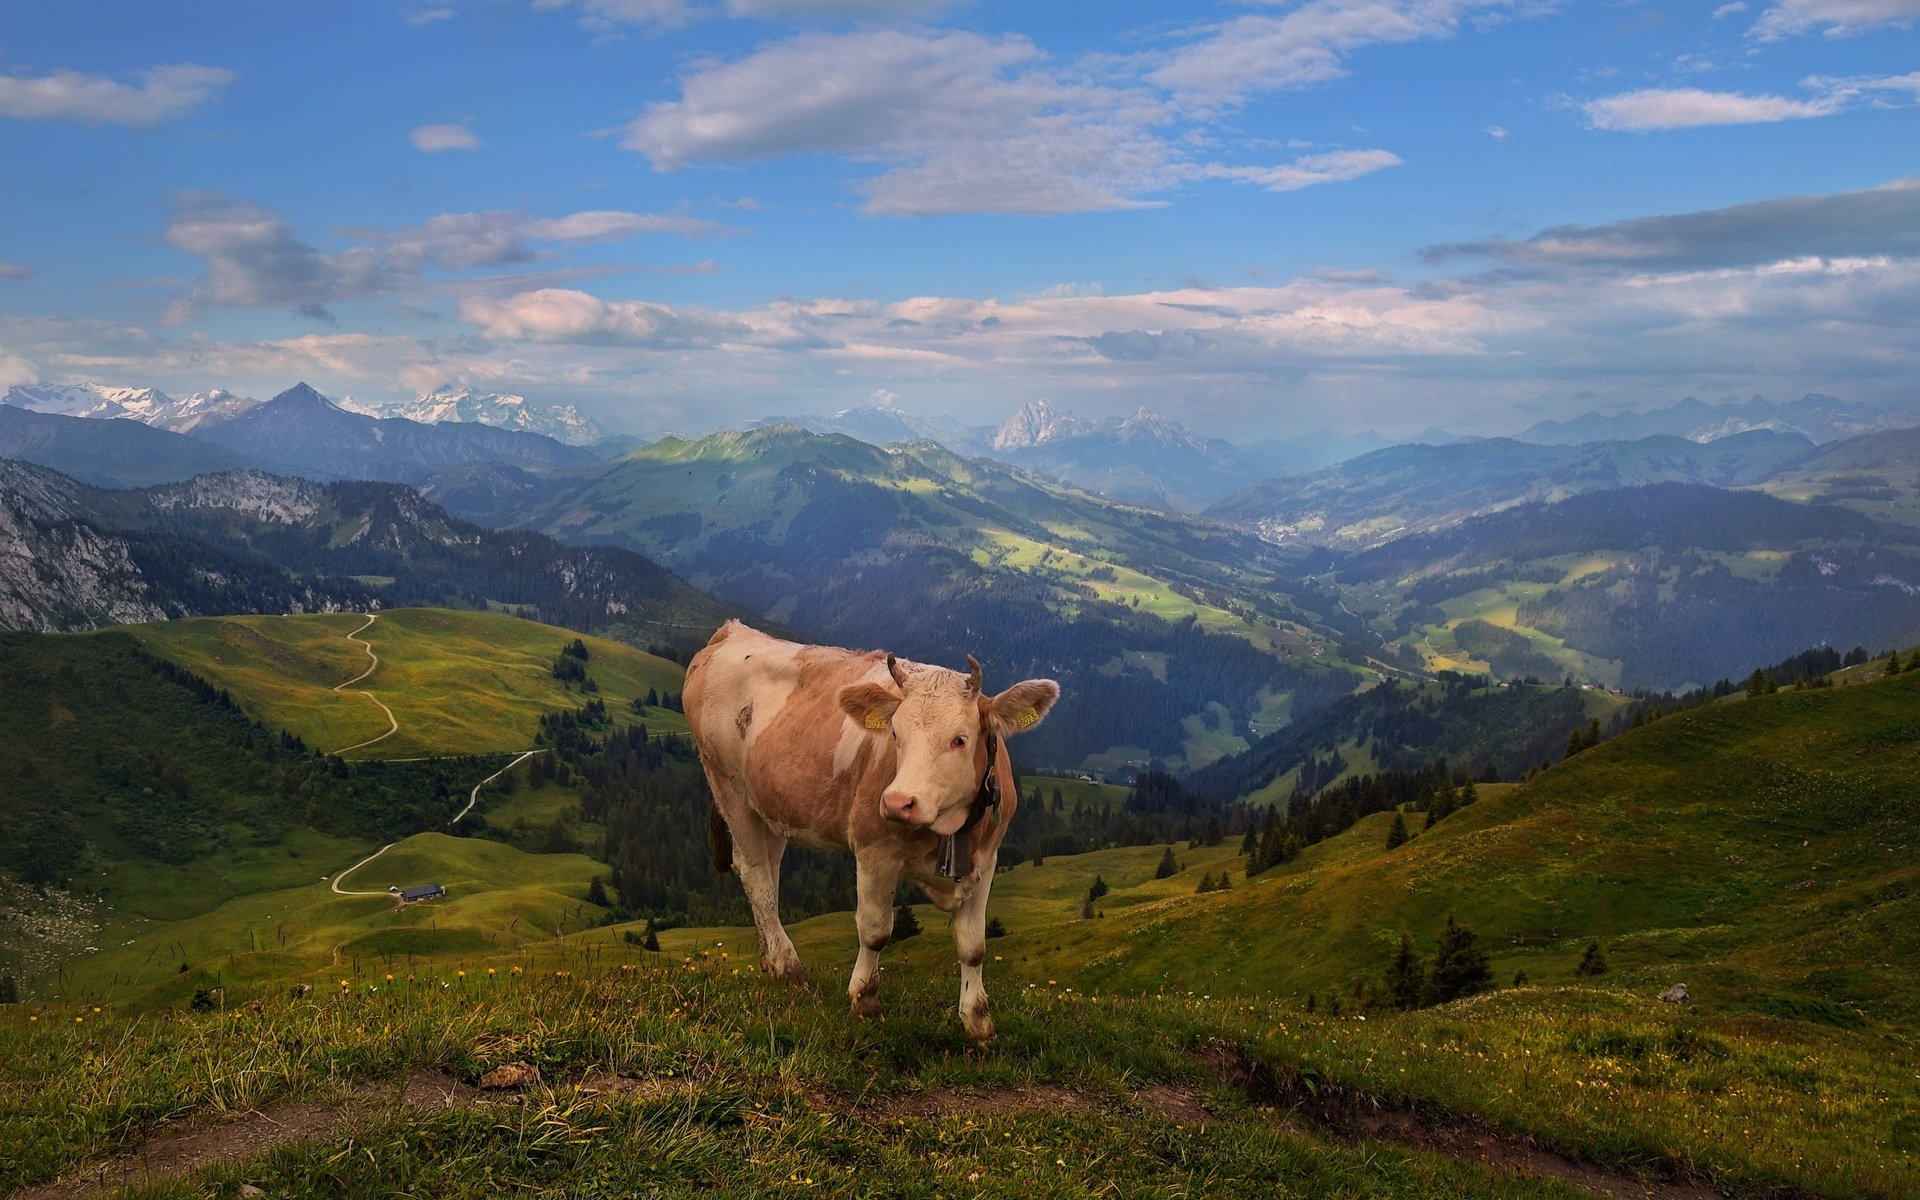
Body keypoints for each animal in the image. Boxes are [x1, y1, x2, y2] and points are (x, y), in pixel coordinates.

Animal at [683, 618, 1059, 1036]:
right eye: (894, 734)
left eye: (960, 739)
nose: (898, 802)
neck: (949, 829)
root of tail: (732, 631)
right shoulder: (874, 850)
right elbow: (875, 931)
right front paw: (865, 1002)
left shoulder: (987, 858)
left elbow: (973, 946)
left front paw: (978, 1021)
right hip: (728, 785)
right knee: (755, 876)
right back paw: (788, 967)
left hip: (771, 806)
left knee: (769, 872)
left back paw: (770, 960)